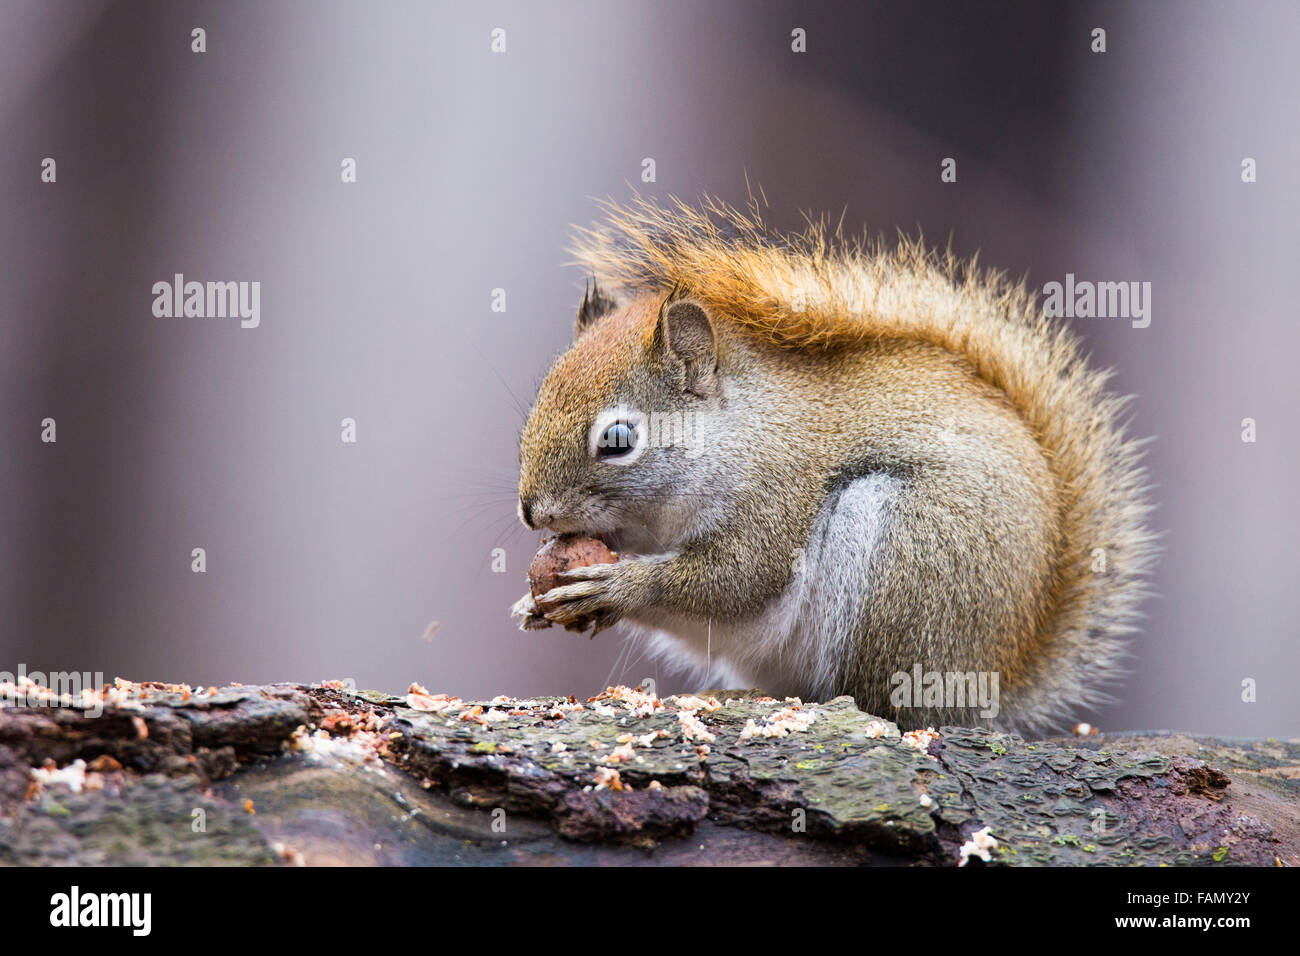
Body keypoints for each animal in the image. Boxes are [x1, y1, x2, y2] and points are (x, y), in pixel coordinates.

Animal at [506, 195, 1159, 733]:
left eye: (618, 439)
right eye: (540, 399)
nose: (532, 512)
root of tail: (995, 676)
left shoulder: (775, 493)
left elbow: (736, 577)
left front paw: (616, 586)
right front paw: (535, 604)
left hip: (909, 560)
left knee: (891, 702)